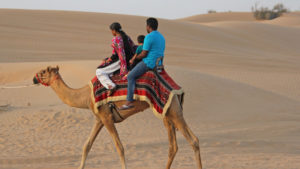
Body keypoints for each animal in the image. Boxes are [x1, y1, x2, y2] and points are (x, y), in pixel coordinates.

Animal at [32, 65, 202, 169]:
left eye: (43, 72)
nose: (34, 78)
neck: (86, 96)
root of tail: (176, 87)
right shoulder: (99, 119)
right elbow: (87, 145)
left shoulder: (107, 117)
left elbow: (119, 147)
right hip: (169, 113)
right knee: (176, 145)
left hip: (171, 109)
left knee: (191, 141)